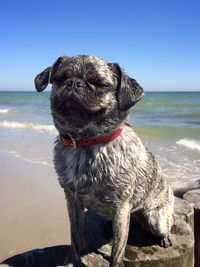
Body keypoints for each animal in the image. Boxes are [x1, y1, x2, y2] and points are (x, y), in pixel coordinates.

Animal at [35, 55, 174, 267]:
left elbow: (117, 252)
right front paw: (71, 260)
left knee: (163, 226)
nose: (74, 83)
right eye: (60, 78)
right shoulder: (72, 202)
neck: (85, 142)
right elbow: (75, 238)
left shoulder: (120, 208)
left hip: (155, 218)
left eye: (100, 83)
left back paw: (165, 237)